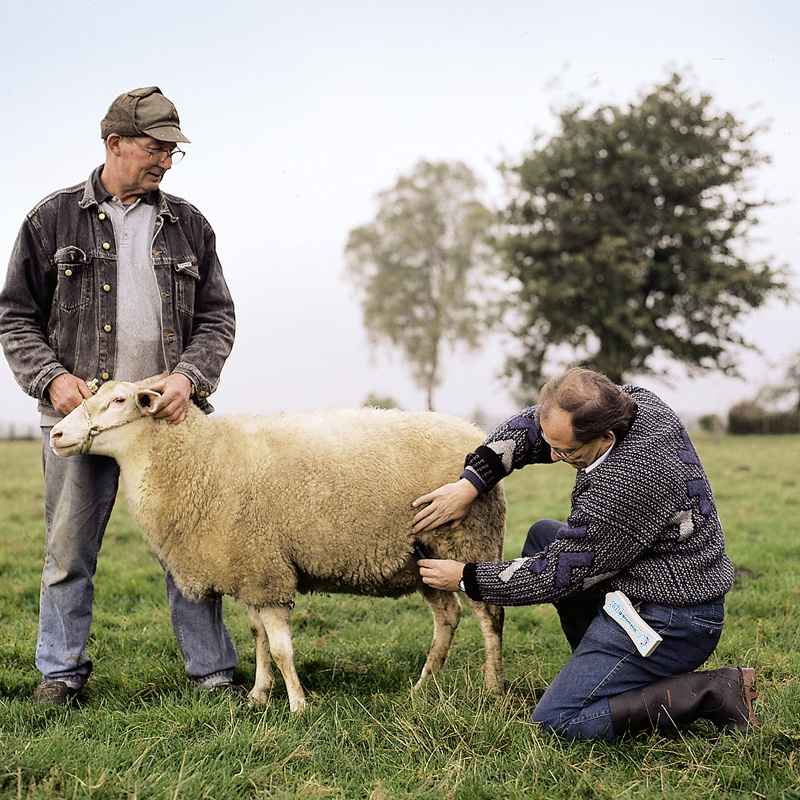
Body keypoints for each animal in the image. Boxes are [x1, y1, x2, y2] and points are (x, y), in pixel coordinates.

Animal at [49, 377, 506, 711]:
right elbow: (259, 639)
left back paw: (491, 686)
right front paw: (258, 694)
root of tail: (472, 433)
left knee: (490, 616)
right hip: (426, 559)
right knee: (447, 618)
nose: (56, 433)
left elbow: (282, 648)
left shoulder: (268, 574)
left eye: (119, 400)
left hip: (468, 541)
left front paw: (298, 705)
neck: (197, 459)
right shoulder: (252, 570)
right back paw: (423, 686)